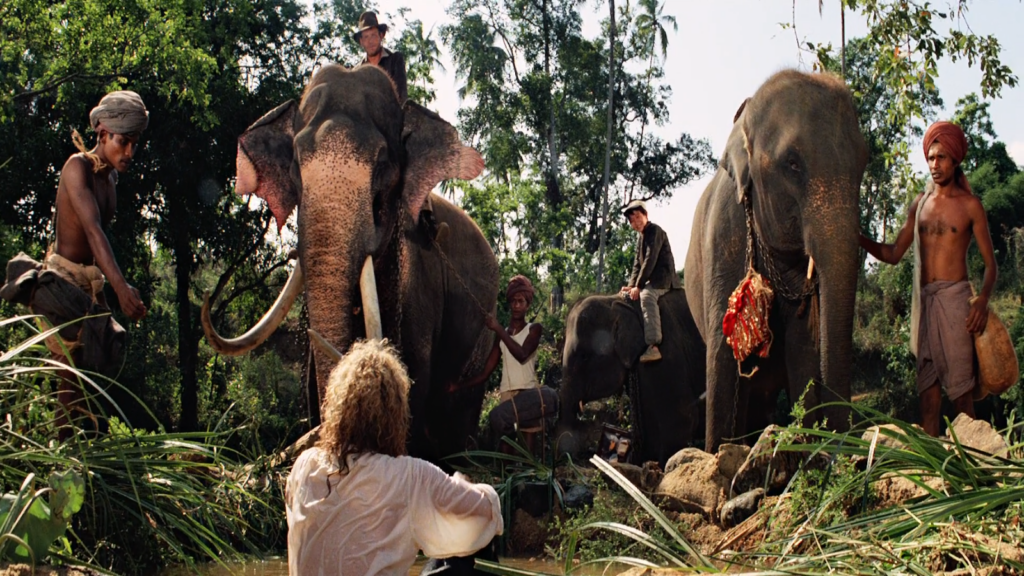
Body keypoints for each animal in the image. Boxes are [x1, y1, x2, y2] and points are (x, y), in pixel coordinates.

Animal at [684, 69, 868, 450]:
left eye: (864, 162)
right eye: (792, 164)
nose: (841, 444)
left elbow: (802, 347)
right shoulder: (722, 236)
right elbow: (723, 352)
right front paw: (716, 454)